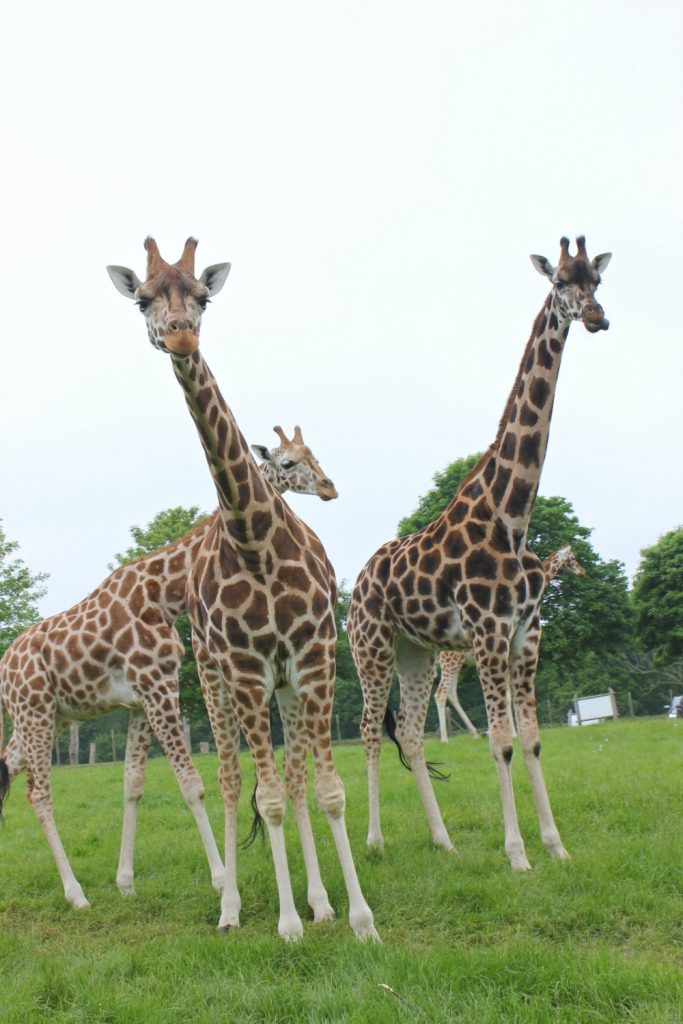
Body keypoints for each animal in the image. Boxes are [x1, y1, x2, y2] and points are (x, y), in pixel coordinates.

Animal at [0, 428, 336, 909]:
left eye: (314, 454)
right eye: (288, 462)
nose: (328, 487)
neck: (164, 593)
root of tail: (4, 667)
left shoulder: (141, 700)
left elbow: (132, 784)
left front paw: (125, 882)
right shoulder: (158, 686)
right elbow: (191, 783)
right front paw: (221, 880)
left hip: (47, 719)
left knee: (8, 773)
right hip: (36, 715)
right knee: (39, 792)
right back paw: (75, 893)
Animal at [107, 237, 378, 941]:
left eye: (203, 296)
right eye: (143, 299)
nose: (179, 333)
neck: (254, 538)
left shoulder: (313, 659)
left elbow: (322, 789)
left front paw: (353, 915)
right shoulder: (249, 671)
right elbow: (269, 797)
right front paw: (287, 924)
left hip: (280, 687)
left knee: (285, 775)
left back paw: (318, 899)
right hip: (213, 681)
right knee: (232, 782)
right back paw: (230, 907)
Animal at [433, 546, 586, 742]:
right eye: (572, 558)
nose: (583, 571)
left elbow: (509, 694)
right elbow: (507, 696)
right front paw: (513, 734)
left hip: (456, 663)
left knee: (452, 693)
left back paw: (475, 733)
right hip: (451, 661)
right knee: (441, 693)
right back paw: (445, 739)